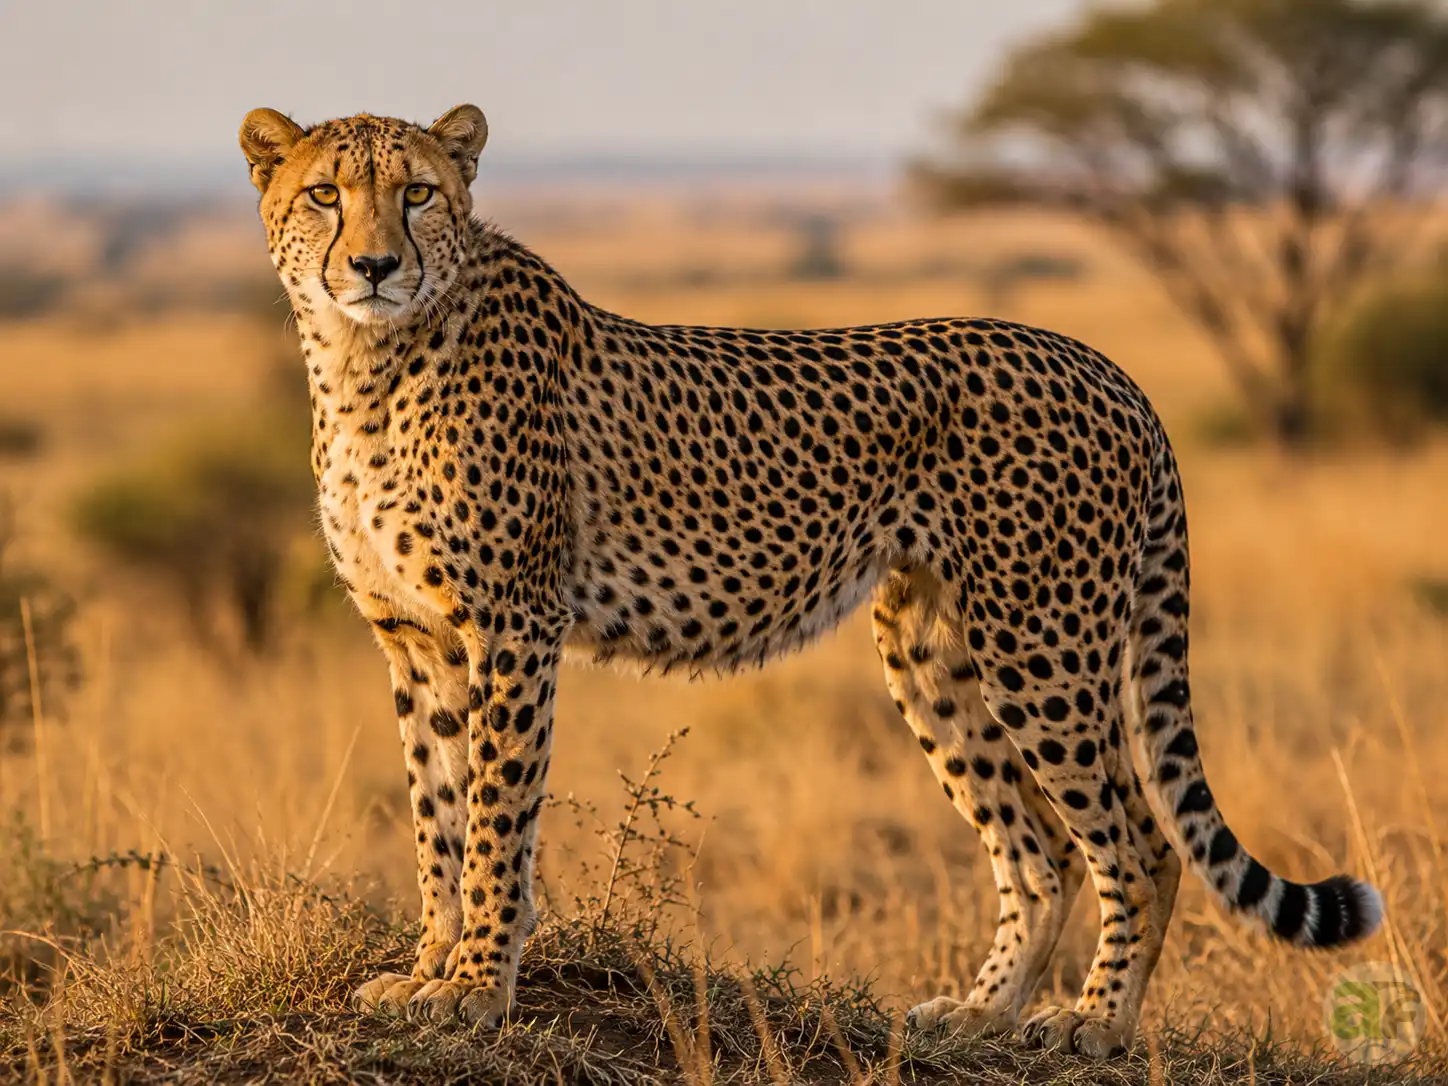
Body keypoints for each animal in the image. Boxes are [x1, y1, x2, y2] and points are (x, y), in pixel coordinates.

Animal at [239, 104, 1383, 1058]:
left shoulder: (511, 626)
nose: (374, 264)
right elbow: (436, 812)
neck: (368, 361)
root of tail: (1102, 365)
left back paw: (1093, 1024)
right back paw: (981, 1013)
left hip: (1039, 643)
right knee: (1043, 851)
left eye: (418, 193)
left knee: (1140, 844)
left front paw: (477, 986)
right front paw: (430, 968)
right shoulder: (417, 639)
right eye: (325, 194)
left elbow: (493, 817)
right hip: (932, 652)